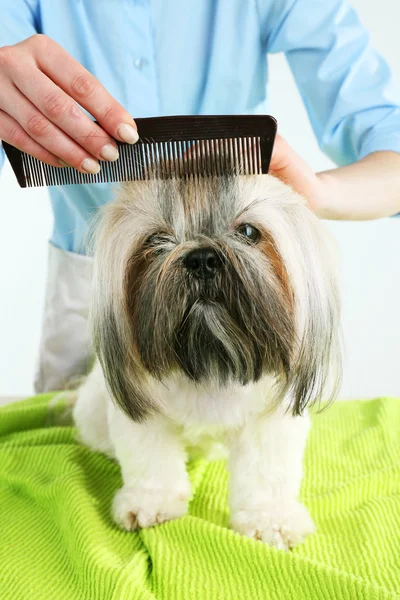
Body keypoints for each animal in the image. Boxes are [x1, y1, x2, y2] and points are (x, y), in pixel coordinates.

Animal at [73, 171, 342, 552]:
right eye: (156, 239)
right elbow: (150, 459)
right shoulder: (147, 419)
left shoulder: (269, 422)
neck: (209, 361)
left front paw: (270, 519)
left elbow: (267, 473)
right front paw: (151, 502)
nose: (201, 258)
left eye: (248, 232)